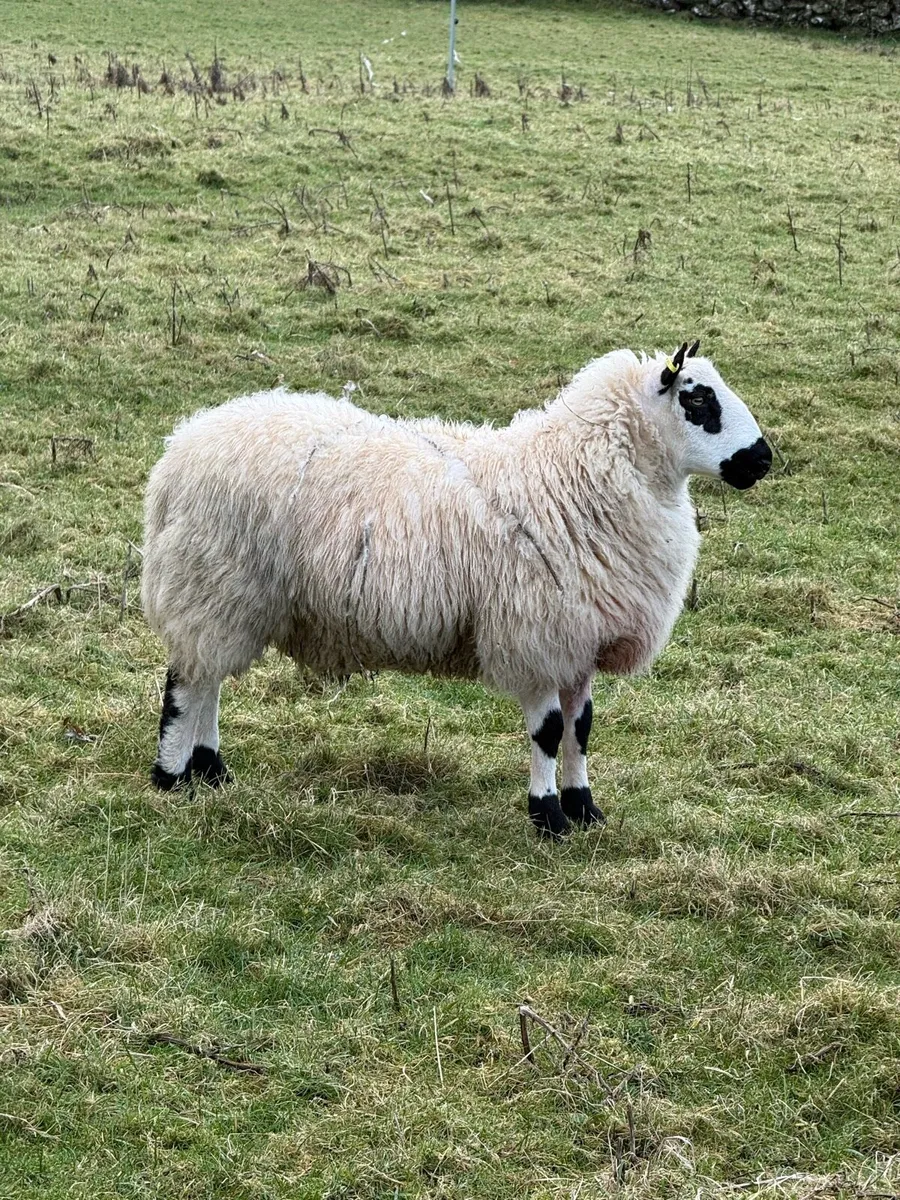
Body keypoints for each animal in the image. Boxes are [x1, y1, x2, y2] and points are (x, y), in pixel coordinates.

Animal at [141, 341, 772, 837]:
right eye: (697, 399)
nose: (763, 460)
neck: (577, 472)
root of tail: (180, 448)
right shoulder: (535, 637)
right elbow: (548, 732)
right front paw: (548, 818)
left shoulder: (580, 640)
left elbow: (581, 729)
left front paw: (584, 809)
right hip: (211, 582)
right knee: (186, 683)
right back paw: (172, 777)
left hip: (228, 597)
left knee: (208, 679)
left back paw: (212, 771)